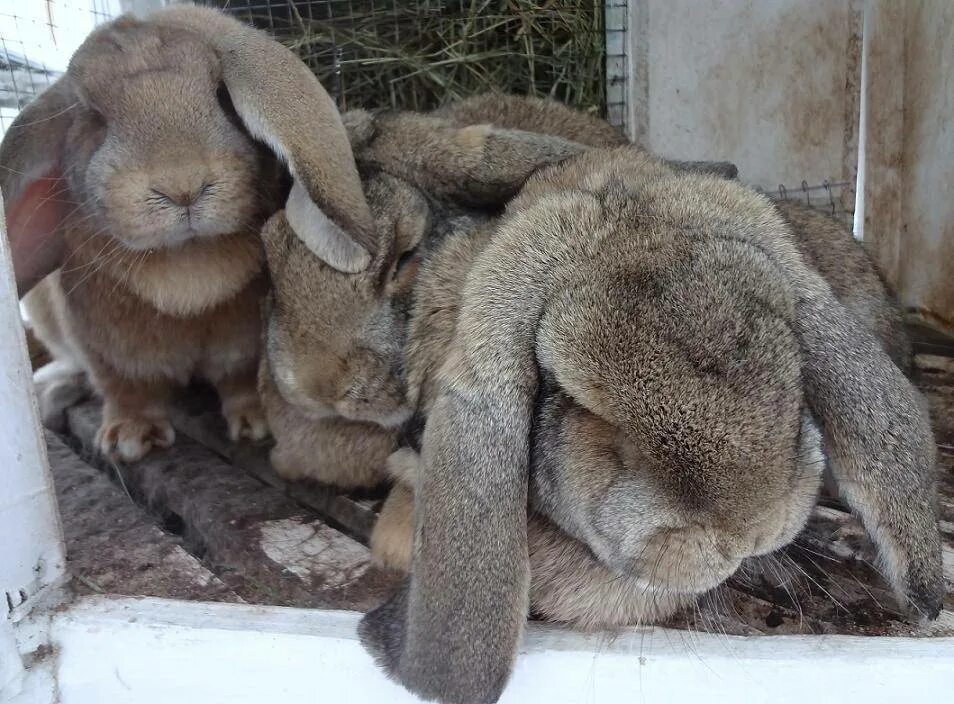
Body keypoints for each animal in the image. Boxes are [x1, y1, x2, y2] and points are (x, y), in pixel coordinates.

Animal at [2, 6, 376, 462]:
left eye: (221, 96)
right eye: (93, 118)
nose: (183, 187)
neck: (186, 261)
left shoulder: (241, 344)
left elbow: (238, 382)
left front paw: (256, 423)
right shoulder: (109, 353)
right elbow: (127, 390)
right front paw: (130, 439)